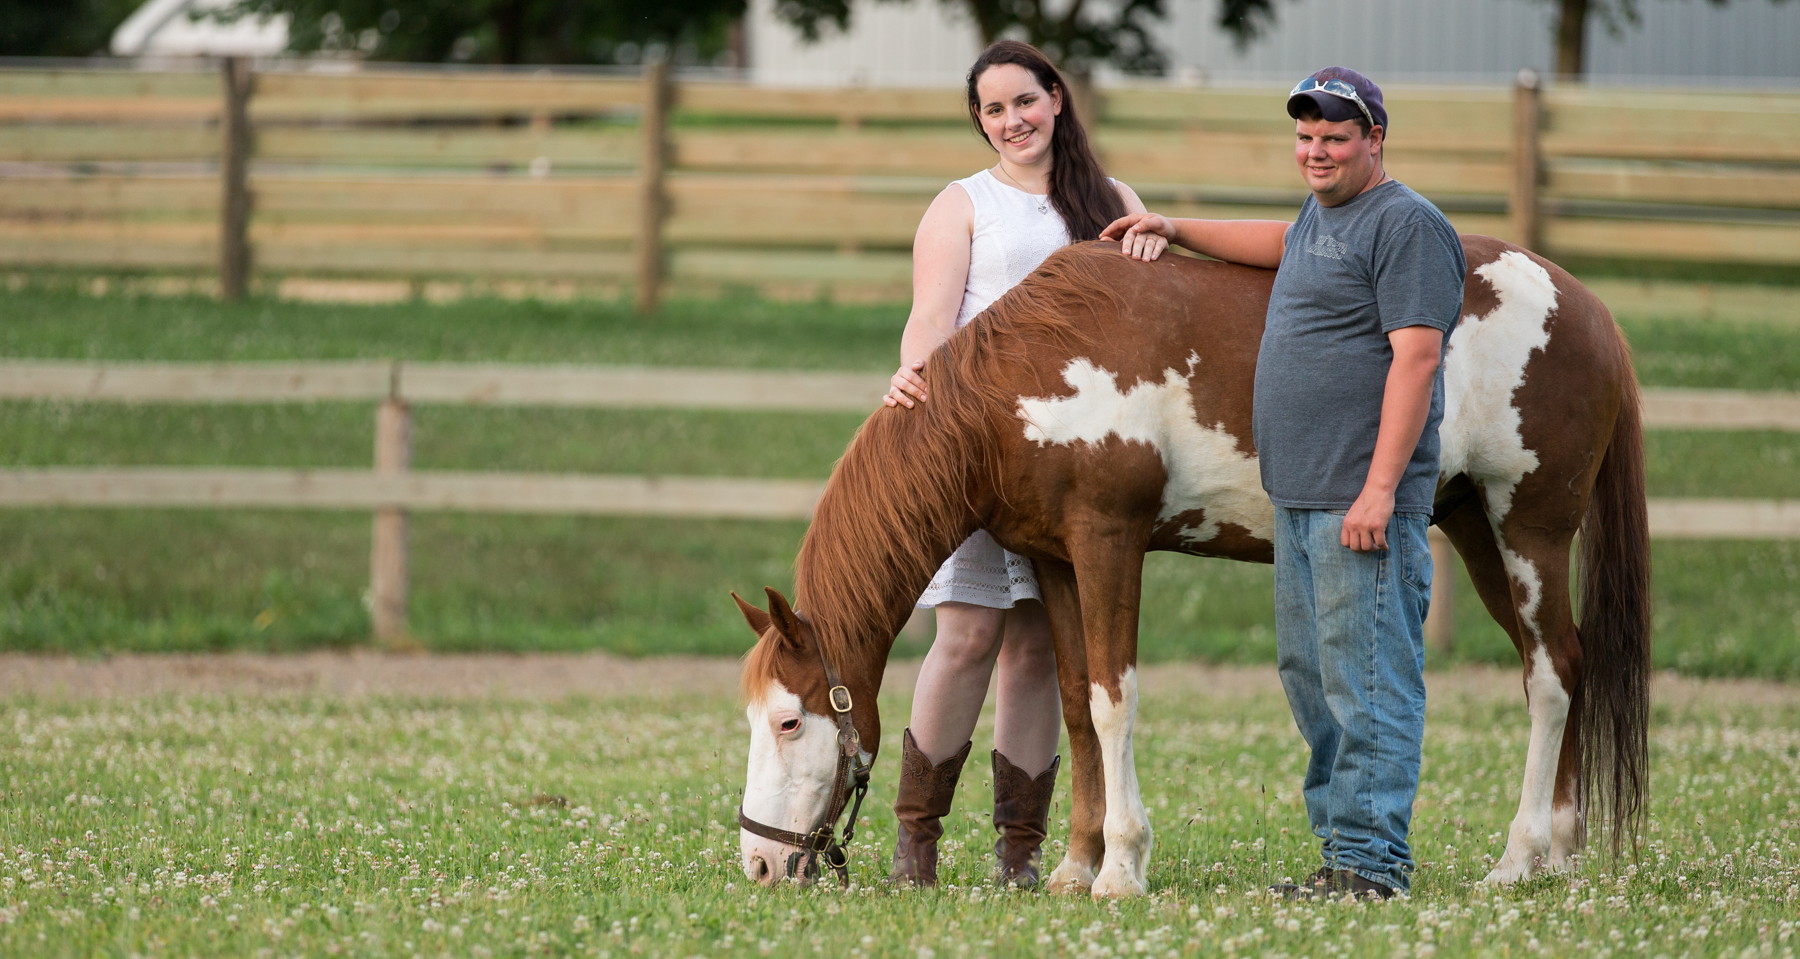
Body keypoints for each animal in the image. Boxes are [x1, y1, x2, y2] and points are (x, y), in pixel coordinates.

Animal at [732, 236, 1650, 897]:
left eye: (788, 720)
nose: (760, 863)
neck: (1028, 378)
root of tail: (1588, 310)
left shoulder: (1109, 540)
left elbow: (1114, 700)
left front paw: (1119, 867)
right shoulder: (1055, 558)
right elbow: (1075, 705)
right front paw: (1074, 866)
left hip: (1528, 528)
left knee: (1554, 679)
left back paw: (1518, 856)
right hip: (1475, 528)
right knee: (1555, 664)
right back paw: (1560, 854)